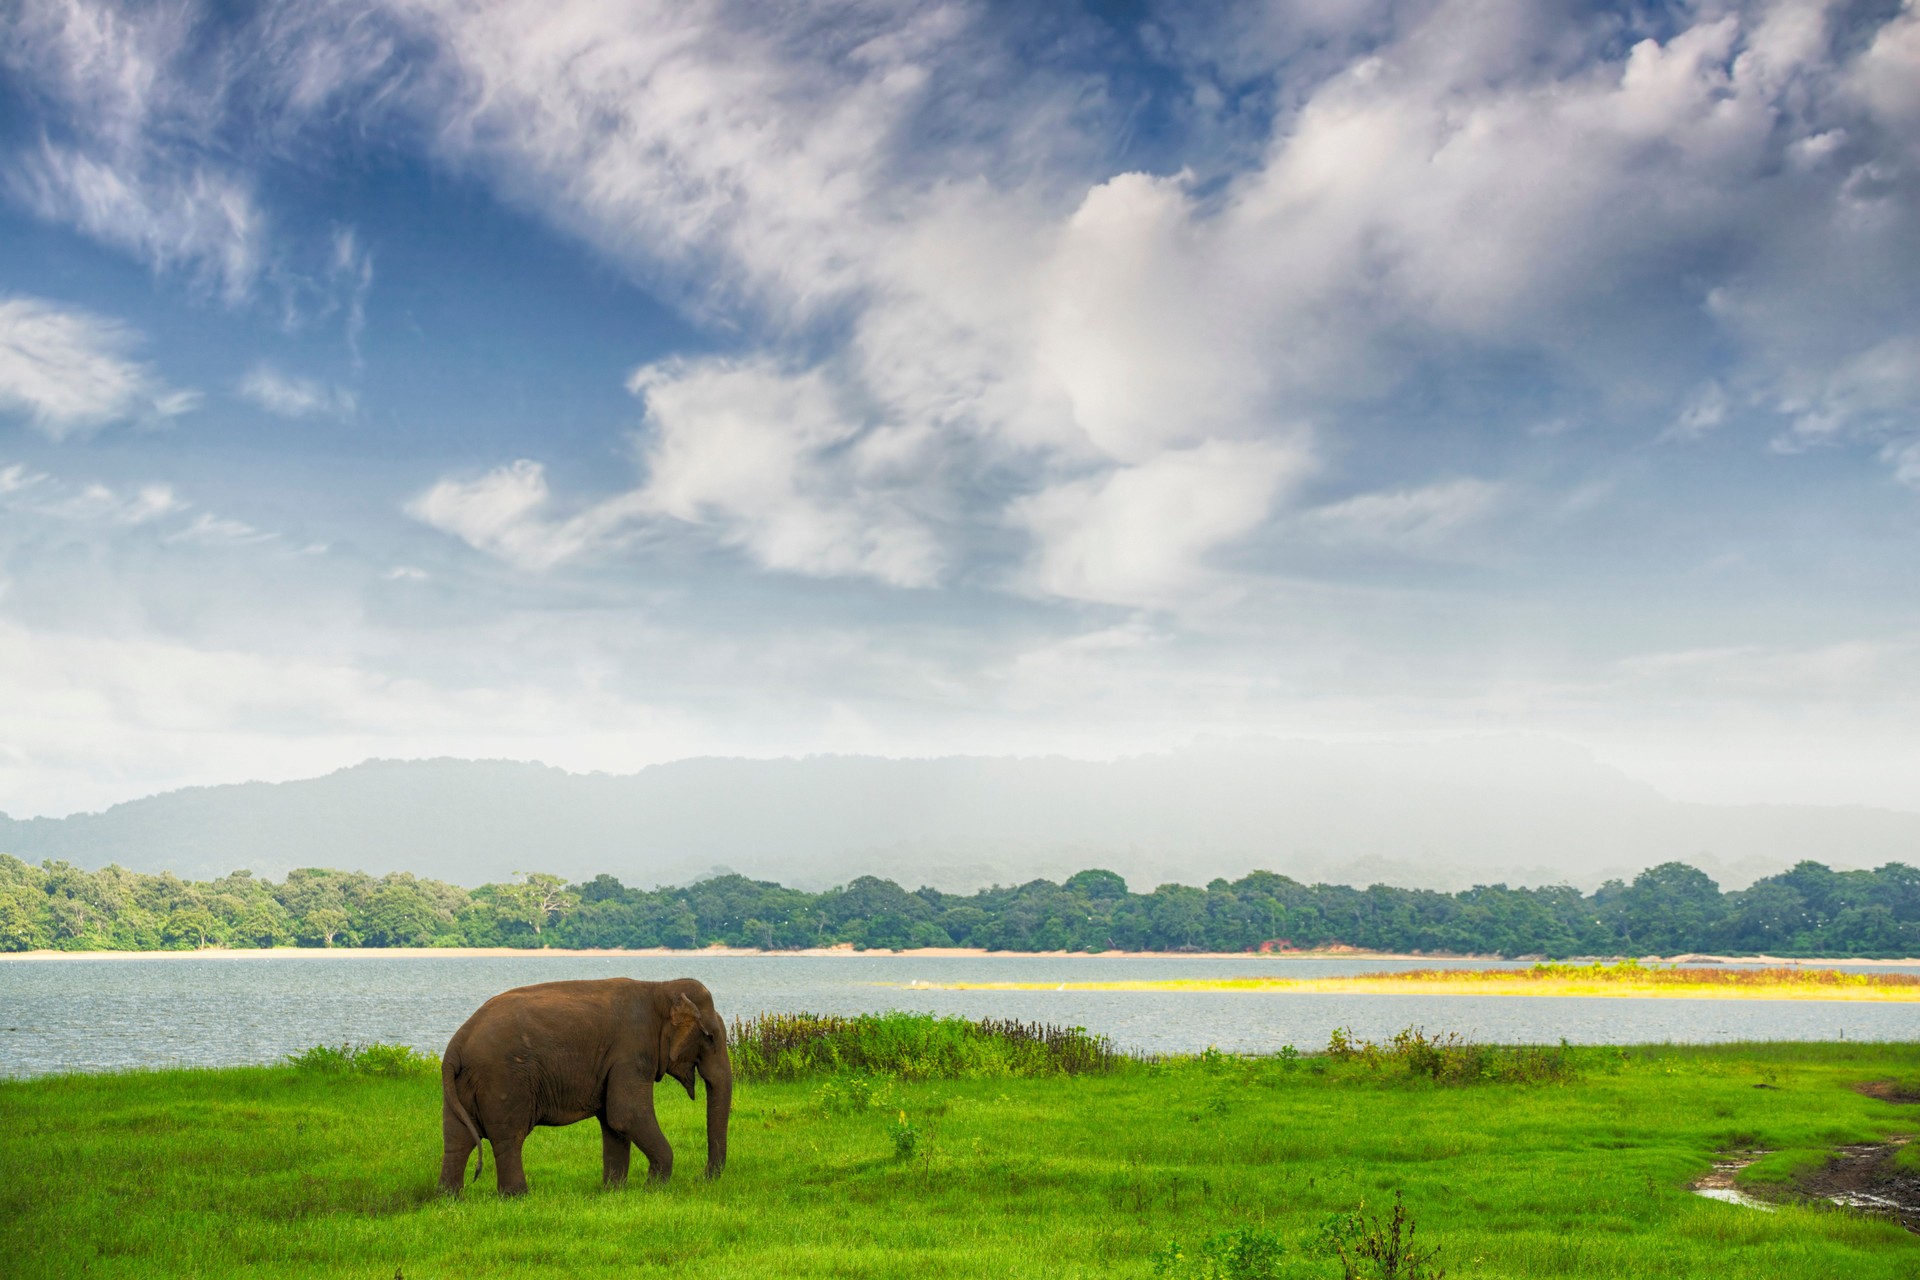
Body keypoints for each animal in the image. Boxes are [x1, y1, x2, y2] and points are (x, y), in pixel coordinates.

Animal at [437, 976, 731, 1196]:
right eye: (710, 1037)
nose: (700, 1178)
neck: (659, 987)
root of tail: (457, 1043)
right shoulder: (631, 1051)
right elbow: (627, 1114)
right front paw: (653, 1189)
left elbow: (614, 1122)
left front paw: (614, 1192)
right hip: (503, 1079)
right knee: (509, 1137)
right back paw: (517, 1197)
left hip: (462, 1084)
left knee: (457, 1138)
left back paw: (450, 1198)